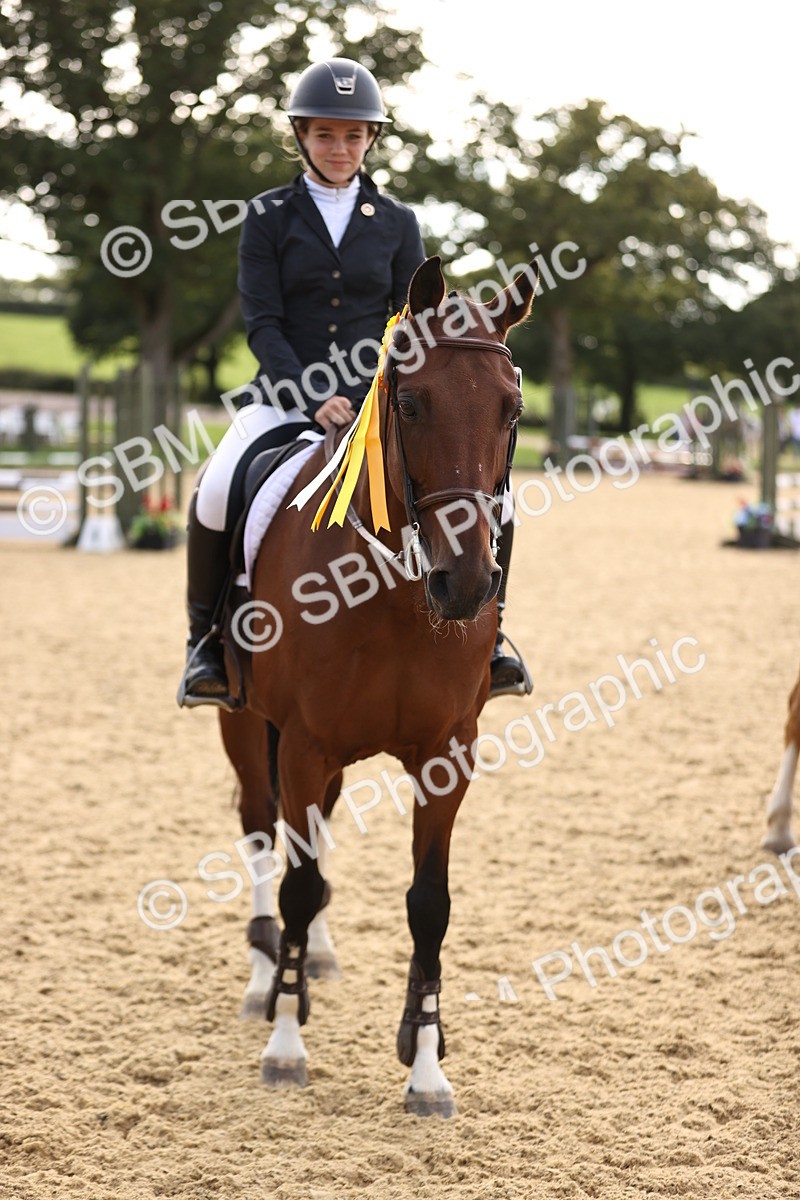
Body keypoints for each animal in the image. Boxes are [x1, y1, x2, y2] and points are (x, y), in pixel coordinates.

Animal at [217, 254, 536, 1117]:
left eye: (511, 410)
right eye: (412, 400)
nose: (467, 584)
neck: (395, 595)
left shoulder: (447, 753)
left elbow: (429, 903)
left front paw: (426, 1063)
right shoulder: (301, 744)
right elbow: (295, 884)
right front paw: (285, 1046)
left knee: (315, 835)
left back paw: (315, 961)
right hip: (246, 727)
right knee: (263, 833)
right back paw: (267, 977)